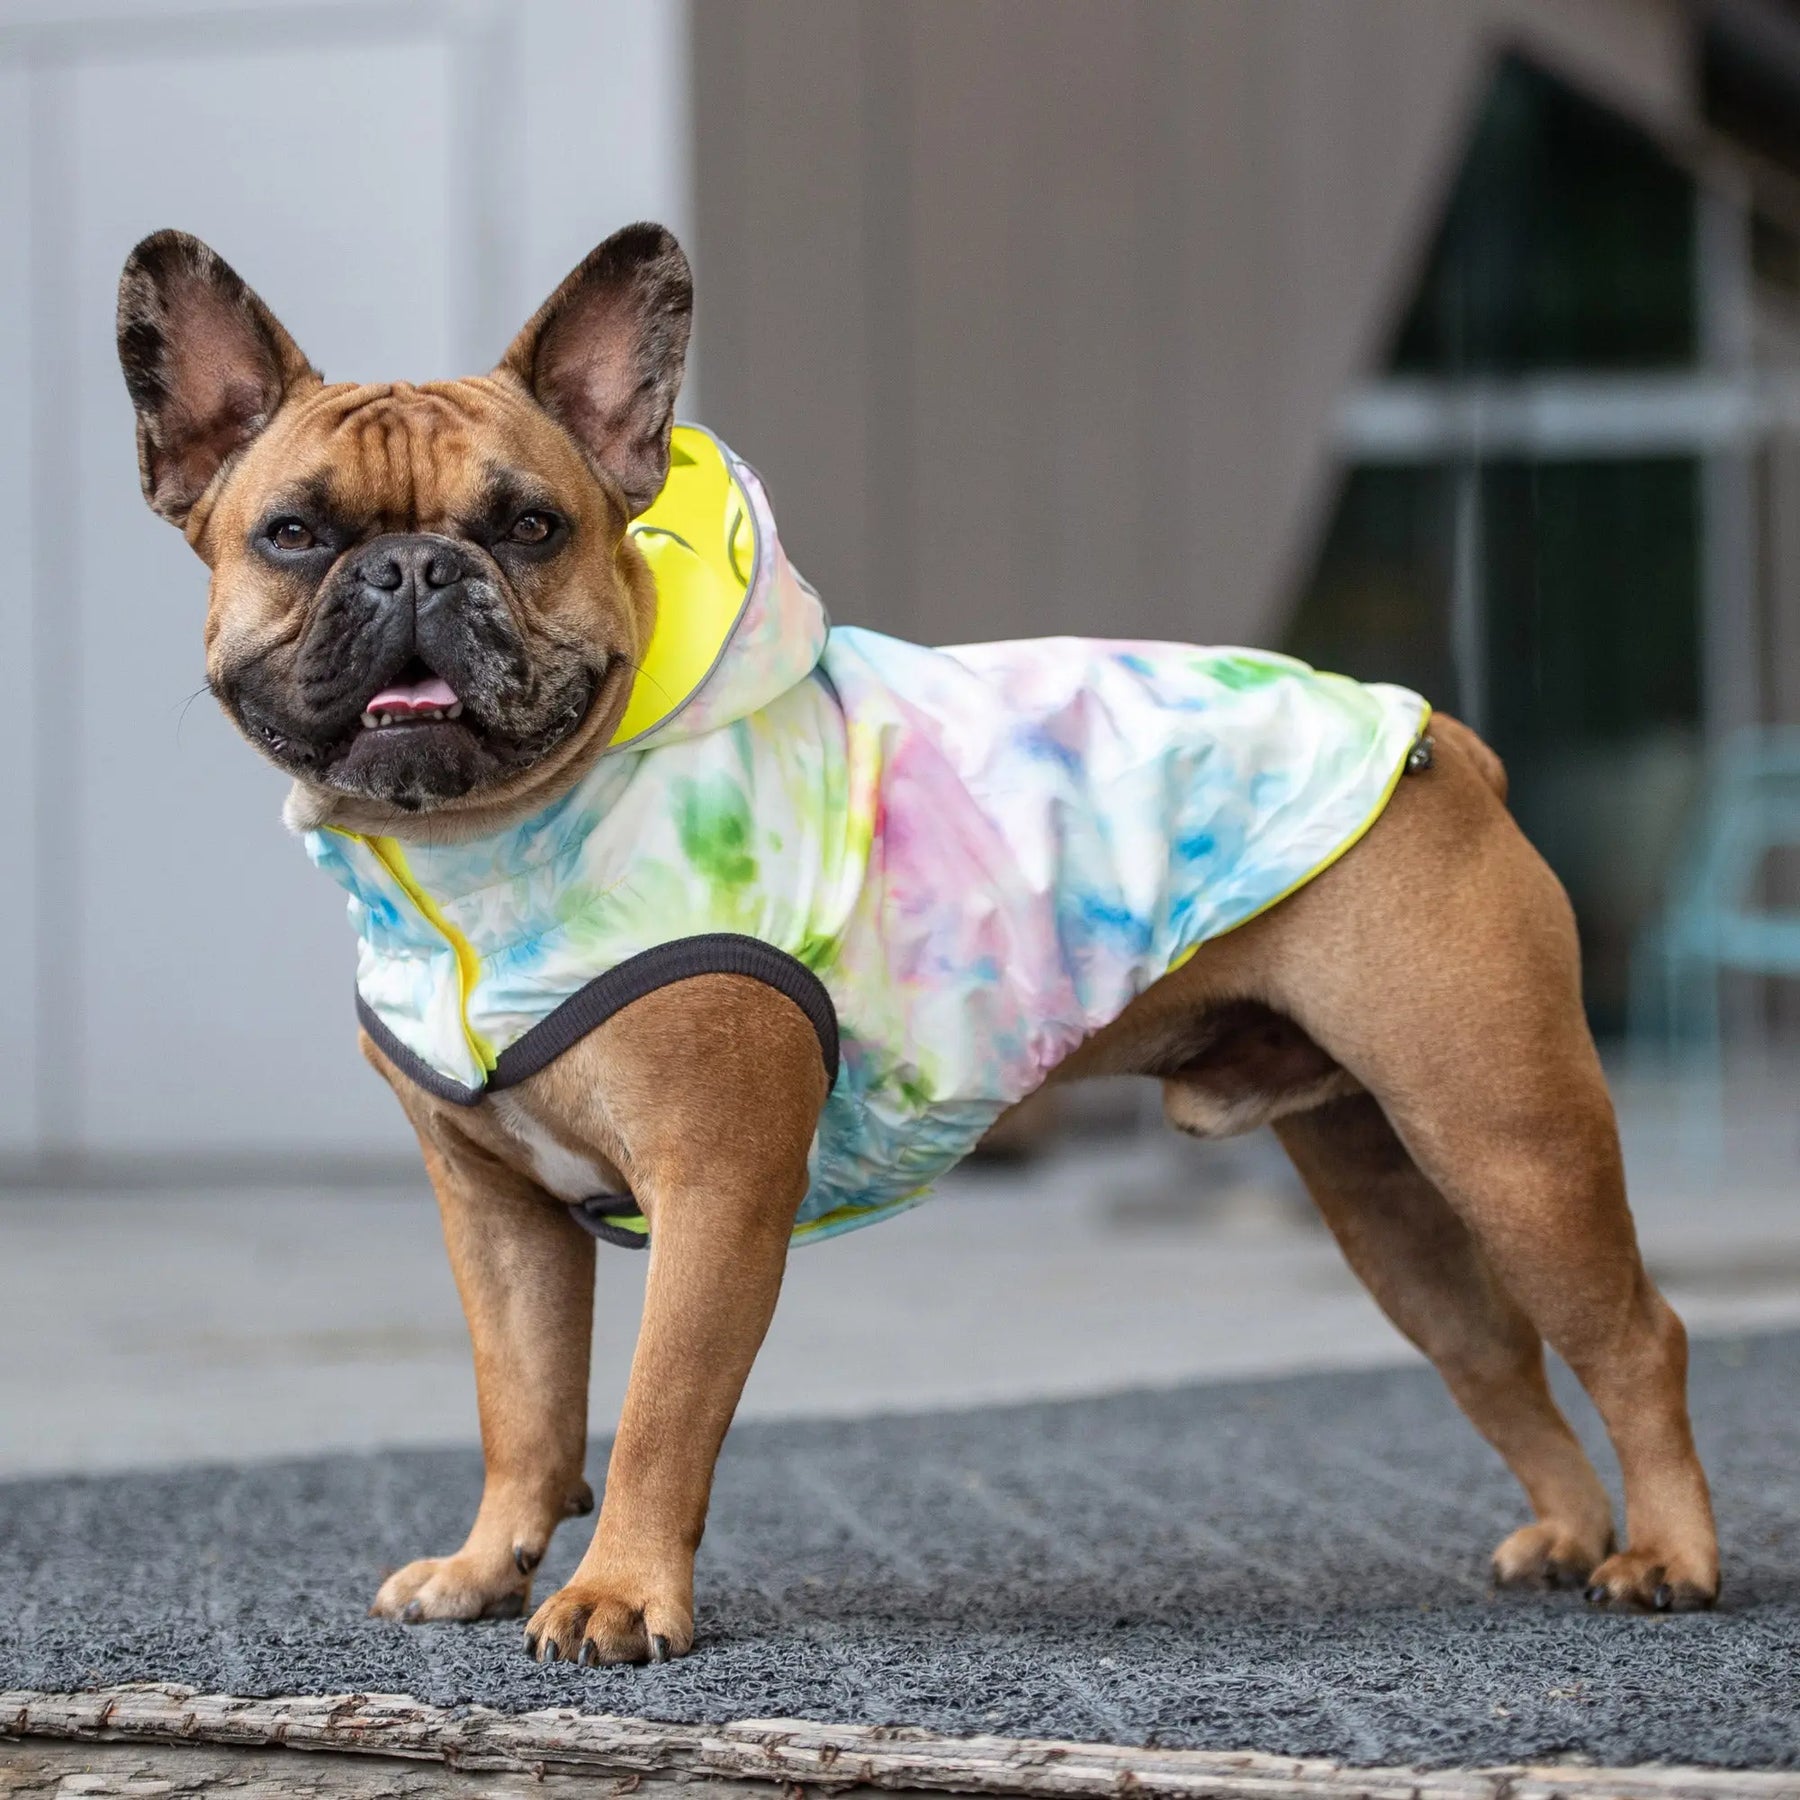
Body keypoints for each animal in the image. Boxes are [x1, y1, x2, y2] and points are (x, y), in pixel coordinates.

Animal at [112, 221, 1713, 1656]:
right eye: (295, 535)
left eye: (528, 528)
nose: (414, 570)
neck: (480, 853)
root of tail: (1437, 735)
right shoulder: (493, 1210)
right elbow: (526, 1404)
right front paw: (487, 1563)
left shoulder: (716, 1193)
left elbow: (654, 1412)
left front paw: (618, 1596)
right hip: (1385, 1179)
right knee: (1493, 1346)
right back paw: (1570, 1534)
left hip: (1503, 1126)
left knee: (1633, 1332)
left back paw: (1668, 1558)